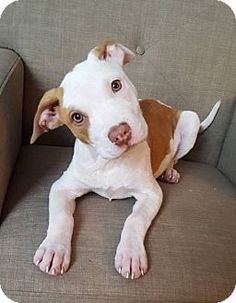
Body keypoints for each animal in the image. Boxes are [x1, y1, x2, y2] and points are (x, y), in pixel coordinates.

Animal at [30, 41, 220, 280]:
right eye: (77, 117)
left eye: (116, 85)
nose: (120, 134)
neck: (110, 163)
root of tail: (169, 107)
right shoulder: (61, 186)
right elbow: (62, 216)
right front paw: (53, 249)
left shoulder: (151, 193)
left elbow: (134, 219)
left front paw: (131, 254)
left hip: (190, 121)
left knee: (175, 157)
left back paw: (170, 171)